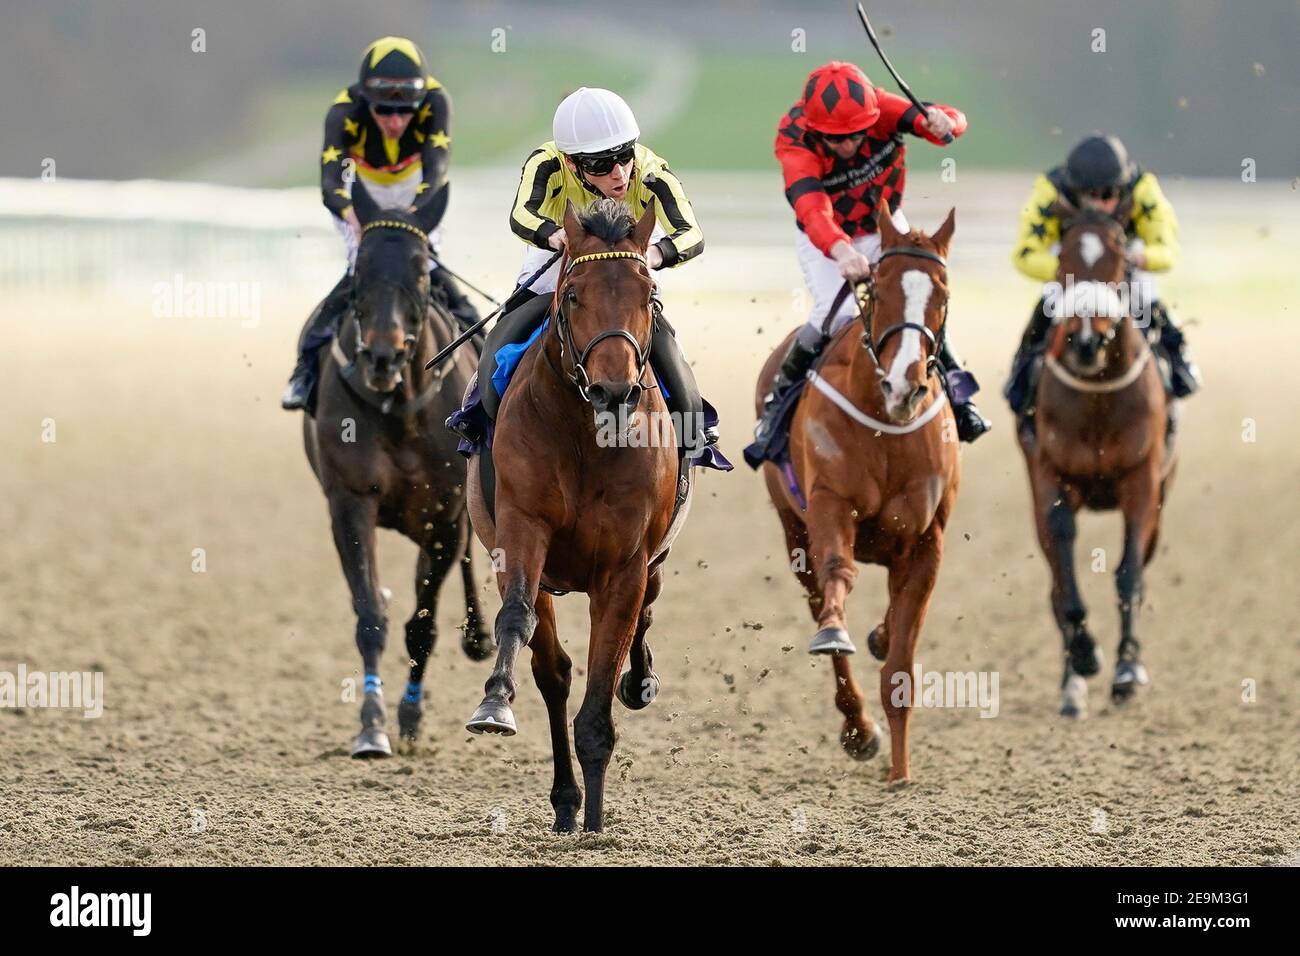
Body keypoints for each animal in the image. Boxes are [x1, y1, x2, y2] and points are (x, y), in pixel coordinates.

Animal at [301, 179, 493, 759]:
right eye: (360, 268)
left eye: (420, 269)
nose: (382, 358)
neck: (401, 408)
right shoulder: (350, 502)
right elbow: (370, 616)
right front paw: (372, 724)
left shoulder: (445, 516)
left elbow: (422, 626)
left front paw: (409, 715)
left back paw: (479, 636)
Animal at [467, 196, 691, 832]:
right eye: (572, 295)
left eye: (649, 294)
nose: (614, 391)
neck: (587, 438)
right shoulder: (521, 528)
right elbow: (517, 621)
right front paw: (495, 703)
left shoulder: (625, 565)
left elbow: (604, 678)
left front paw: (596, 824)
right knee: (554, 671)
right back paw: (565, 799)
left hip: (656, 558)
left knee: (643, 617)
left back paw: (639, 683)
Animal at [759, 209, 961, 785]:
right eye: (881, 291)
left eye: (941, 294)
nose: (905, 387)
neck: (884, 423)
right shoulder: (829, 505)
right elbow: (838, 577)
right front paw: (837, 632)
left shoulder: (926, 540)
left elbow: (900, 667)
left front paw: (901, 775)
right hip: (792, 529)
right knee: (818, 599)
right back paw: (856, 726)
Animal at [1019, 204, 1175, 717]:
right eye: (1063, 256)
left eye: (1120, 256)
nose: (1086, 340)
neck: (1097, 399)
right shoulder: (1051, 477)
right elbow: (1065, 581)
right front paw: (1085, 658)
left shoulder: (1141, 481)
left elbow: (1129, 576)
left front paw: (1126, 669)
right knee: (1054, 584)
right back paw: (1071, 684)